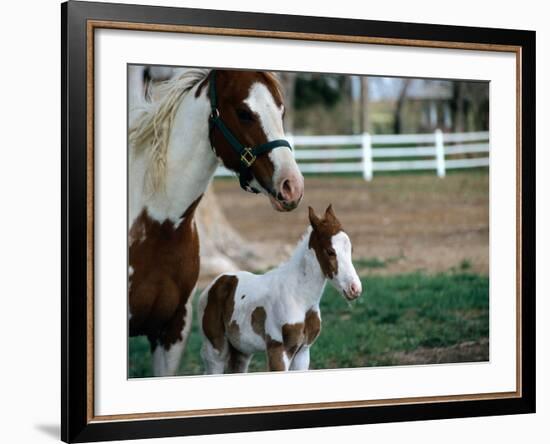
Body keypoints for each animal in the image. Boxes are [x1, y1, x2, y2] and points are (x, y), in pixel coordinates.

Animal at [201, 206, 364, 372]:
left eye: (351, 250)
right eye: (330, 251)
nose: (355, 288)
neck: (299, 297)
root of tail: (215, 283)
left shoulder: (303, 352)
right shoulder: (278, 350)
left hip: (242, 351)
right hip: (216, 349)